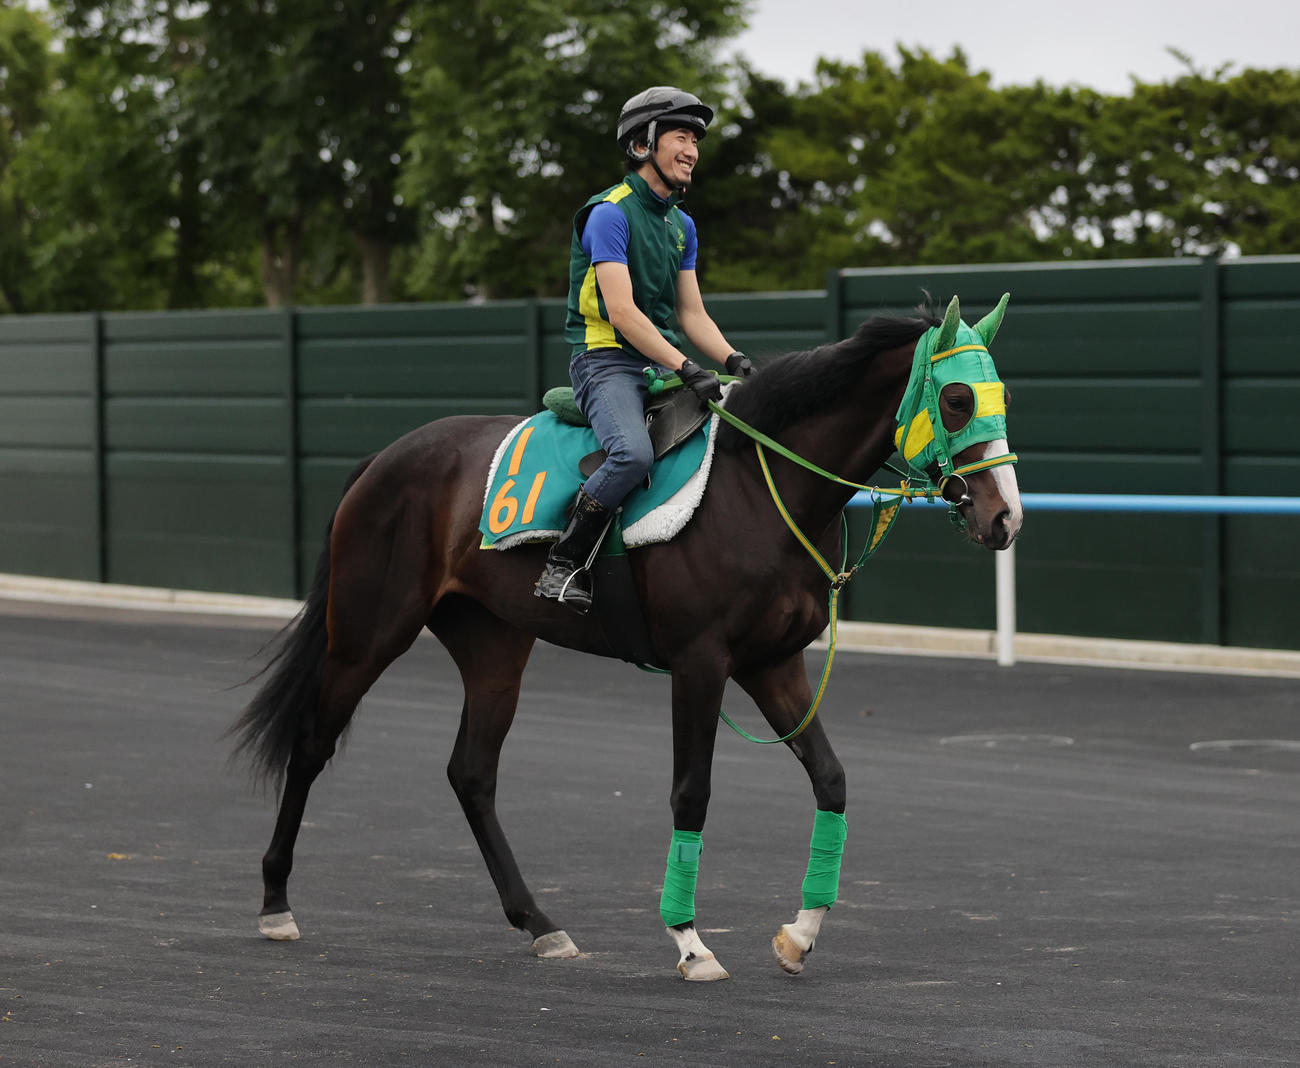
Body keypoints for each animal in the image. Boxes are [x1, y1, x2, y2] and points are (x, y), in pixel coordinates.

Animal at [230, 294, 1023, 981]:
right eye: (957, 400)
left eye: (1001, 398)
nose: (1005, 518)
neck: (757, 485)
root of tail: (384, 459)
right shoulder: (701, 663)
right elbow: (691, 794)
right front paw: (690, 942)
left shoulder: (774, 664)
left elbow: (831, 779)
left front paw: (799, 935)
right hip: (368, 633)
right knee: (312, 745)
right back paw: (275, 903)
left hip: (494, 647)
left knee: (471, 773)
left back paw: (539, 922)